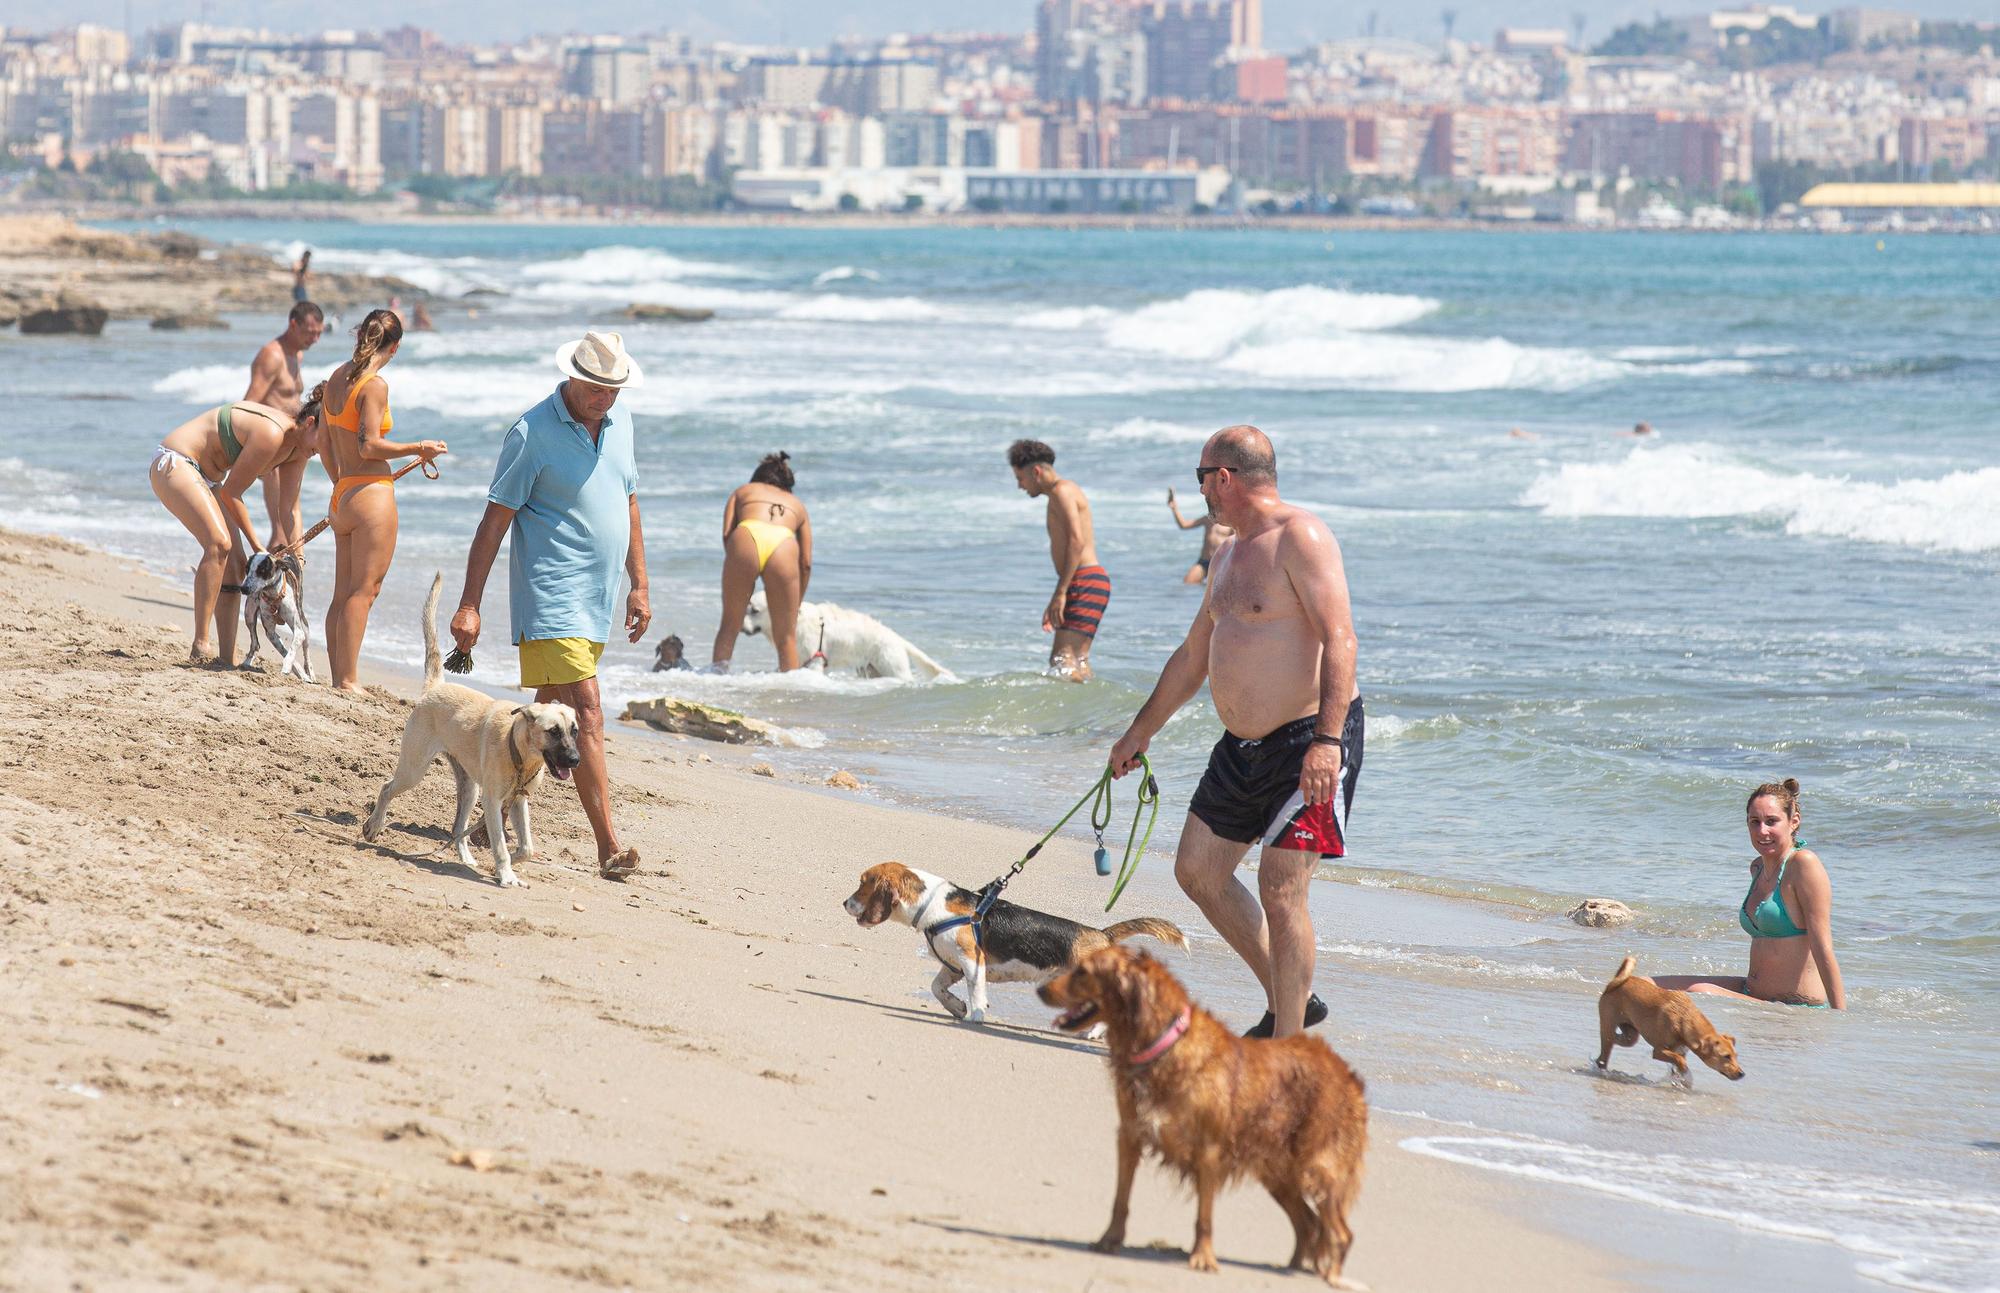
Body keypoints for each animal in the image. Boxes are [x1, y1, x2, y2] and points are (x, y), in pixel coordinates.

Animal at [364, 580, 584, 892]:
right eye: (553, 731)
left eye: (574, 730)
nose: (576, 760)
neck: (519, 751)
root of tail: (436, 686)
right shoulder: (493, 802)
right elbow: (500, 845)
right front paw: (506, 874)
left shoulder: (518, 802)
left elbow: (526, 848)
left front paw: (509, 863)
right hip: (414, 770)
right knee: (386, 788)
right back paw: (374, 826)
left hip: (469, 789)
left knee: (458, 828)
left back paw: (466, 858)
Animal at [744, 592, 952, 684]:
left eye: (754, 611)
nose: (741, 628)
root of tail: (896, 637)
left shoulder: (814, 660)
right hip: (872, 670)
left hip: (892, 665)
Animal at [836, 864, 1176, 1024]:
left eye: (863, 883)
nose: (844, 903)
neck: (934, 904)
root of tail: (1102, 933)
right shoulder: (952, 966)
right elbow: (937, 988)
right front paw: (956, 1008)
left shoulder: (972, 962)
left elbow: (977, 992)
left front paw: (975, 1016)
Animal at [1048, 940, 1360, 1288]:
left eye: (1082, 972)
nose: (1041, 988)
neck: (1165, 1046)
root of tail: (1344, 1069)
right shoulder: (1129, 1135)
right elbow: (1120, 1199)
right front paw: (1108, 1241)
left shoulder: (1208, 1152)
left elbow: (1204, 1216)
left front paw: (1202, 1258)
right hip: (1279, 1174)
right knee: (1308, 1224)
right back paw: (1290, 1268)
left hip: (1320, 1167)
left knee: (1340, 1232)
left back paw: (1330, 1277)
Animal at [1600, 956, 1744, 1088]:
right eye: (1726, 1056)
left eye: (1736, 1055)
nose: (1742, 1073)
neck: (1683, 1018)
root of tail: (1613, 983)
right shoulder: (1659, 1051)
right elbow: (1681, 1062)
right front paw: (1685, 1075)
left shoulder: (1680, 1051)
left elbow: (1678, 1063)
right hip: (1609, 1023)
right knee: (1603, 1055)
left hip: (1630, 1034)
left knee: (1618, 1039)